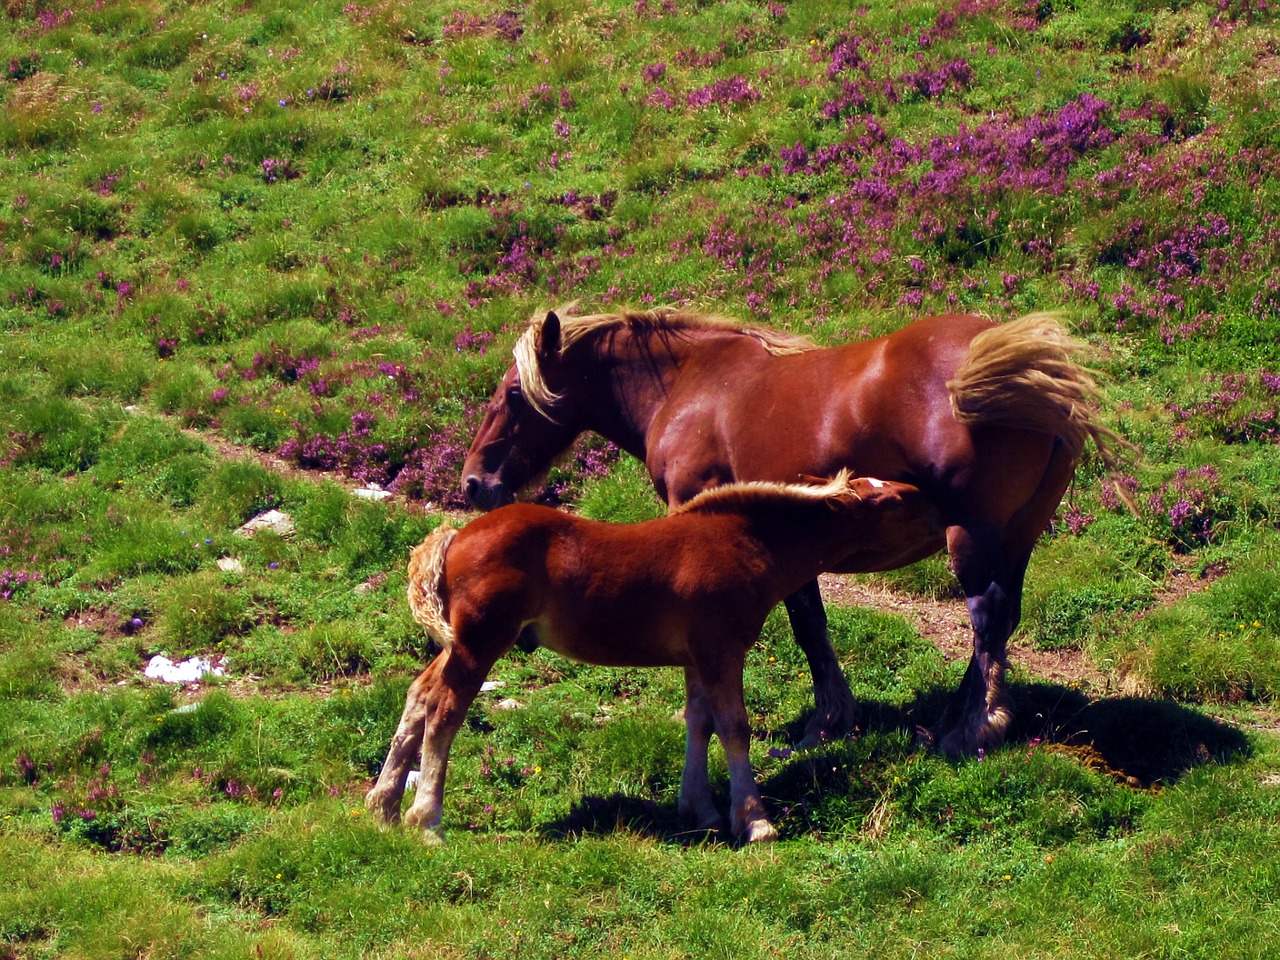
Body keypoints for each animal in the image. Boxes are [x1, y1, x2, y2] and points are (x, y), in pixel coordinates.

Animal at [371, 471, 942, 839]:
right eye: (895, 501)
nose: (942, 510)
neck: (748, 541)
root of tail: (455, 535)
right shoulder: (721, 651)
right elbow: (734, 728)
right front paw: (754, 821)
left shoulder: (696, 659)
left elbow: (699, 723)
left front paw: (702, 812)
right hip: (482, 641)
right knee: (445, 708)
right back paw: (426, 821)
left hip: (461, 642)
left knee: (418, 694)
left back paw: (382, 804)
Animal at [460, 309, 1121, 757]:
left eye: (513, 394)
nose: (473, 484)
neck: (690, 385)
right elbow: (810, 624)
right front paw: (828, 723)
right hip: (1017, 535)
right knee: (1002, 618)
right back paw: (956, 721)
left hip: (972, 533)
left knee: (986, 616)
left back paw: (973, 730)